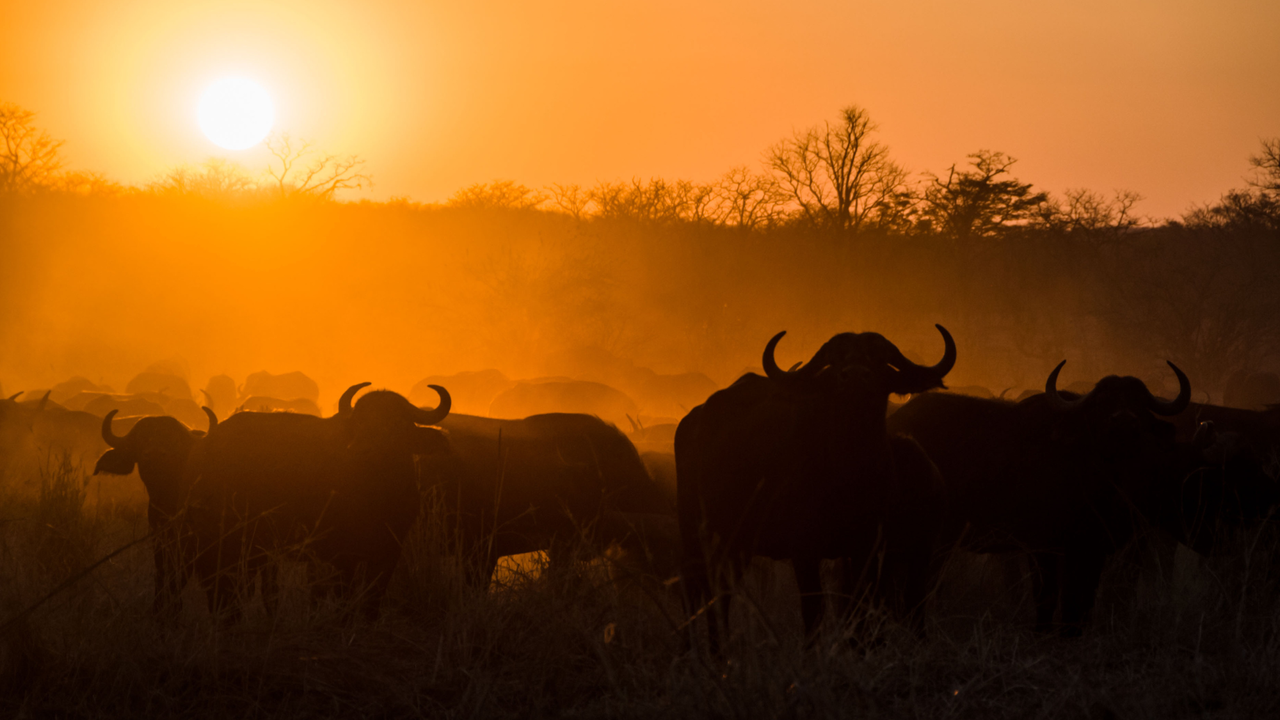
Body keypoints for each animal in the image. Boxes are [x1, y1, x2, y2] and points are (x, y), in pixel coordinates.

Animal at [675, 325, 957, 645]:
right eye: (834, 359)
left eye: (880, 358)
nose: (855, 376)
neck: (849, 474)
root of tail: (691, 421)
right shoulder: (804, 551)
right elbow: (813, 612)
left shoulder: (868, 549)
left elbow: (862, 609)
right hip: (695, 534)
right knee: (695, 588)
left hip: (736, 544)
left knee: (720, 592)